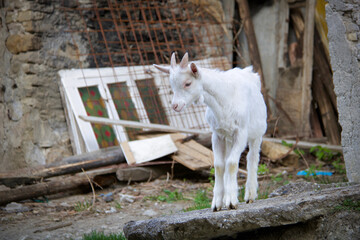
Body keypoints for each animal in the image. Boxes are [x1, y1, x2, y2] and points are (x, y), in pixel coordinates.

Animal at [153, 52, 266, 210]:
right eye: (172, 85)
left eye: (188, 83)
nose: (175, 106)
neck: (224, 99)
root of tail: (248, 71)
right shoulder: (217, 135)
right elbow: (219, 165)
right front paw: (217, 203)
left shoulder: (241, 133)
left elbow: (232, 163)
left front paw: (231, 201)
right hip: (228, 137)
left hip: (257, 133)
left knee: (252, 158)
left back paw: (250, 195)